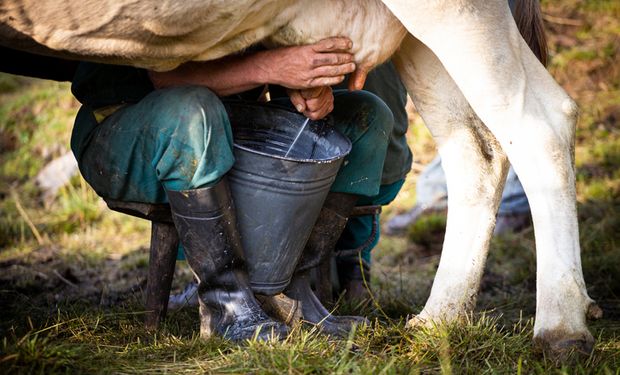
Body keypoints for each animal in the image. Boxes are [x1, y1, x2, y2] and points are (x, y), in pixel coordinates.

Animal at [1, 0, 600, 358]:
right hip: (421, 40)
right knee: (476, 146)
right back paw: (436, 321)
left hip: (455, 12)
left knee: (541, 125)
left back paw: (560, 330)